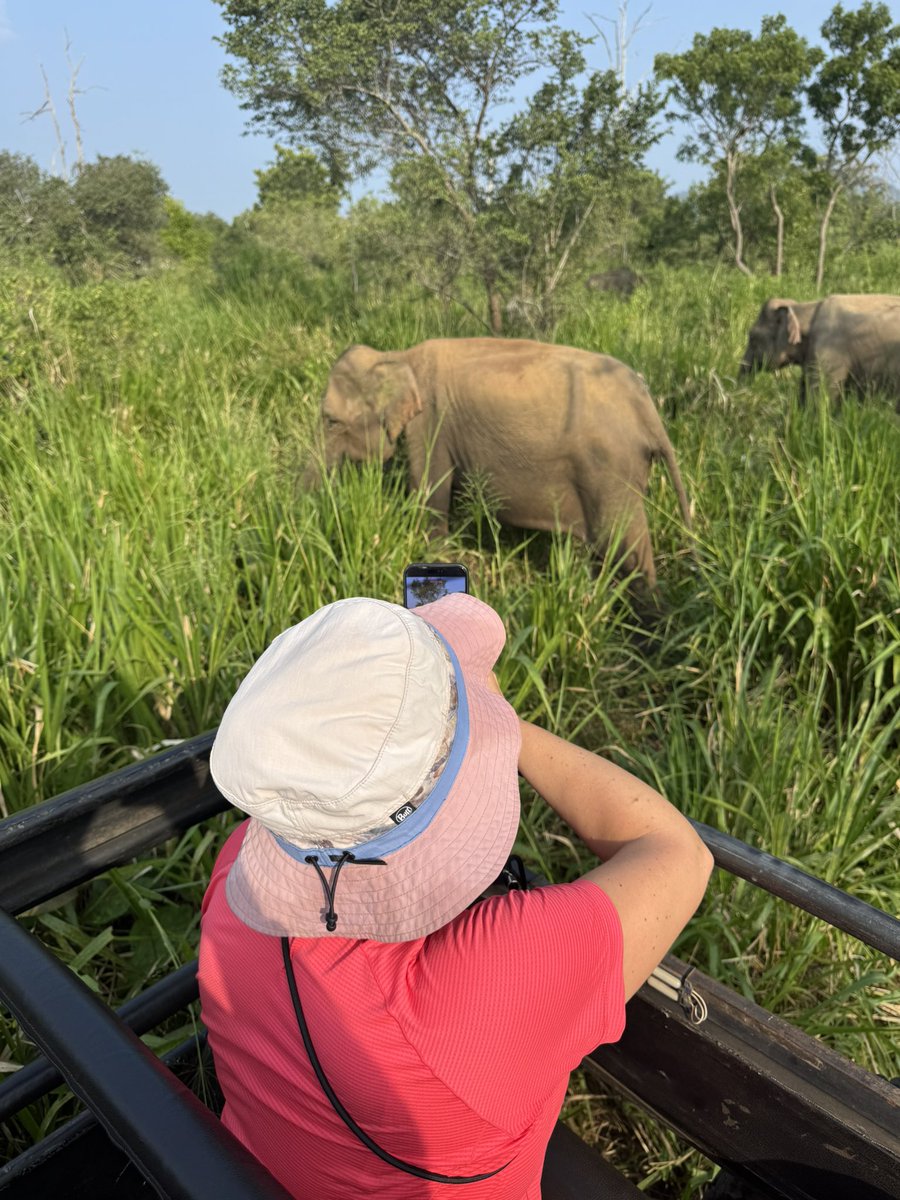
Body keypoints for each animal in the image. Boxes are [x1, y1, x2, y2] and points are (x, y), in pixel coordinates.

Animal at [314, 338, 692, 594]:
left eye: (331, 422)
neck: (396, 357)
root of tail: (647, 407)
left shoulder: (430, 423)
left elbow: (430, 492)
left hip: (610, 469)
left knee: (627, 548)